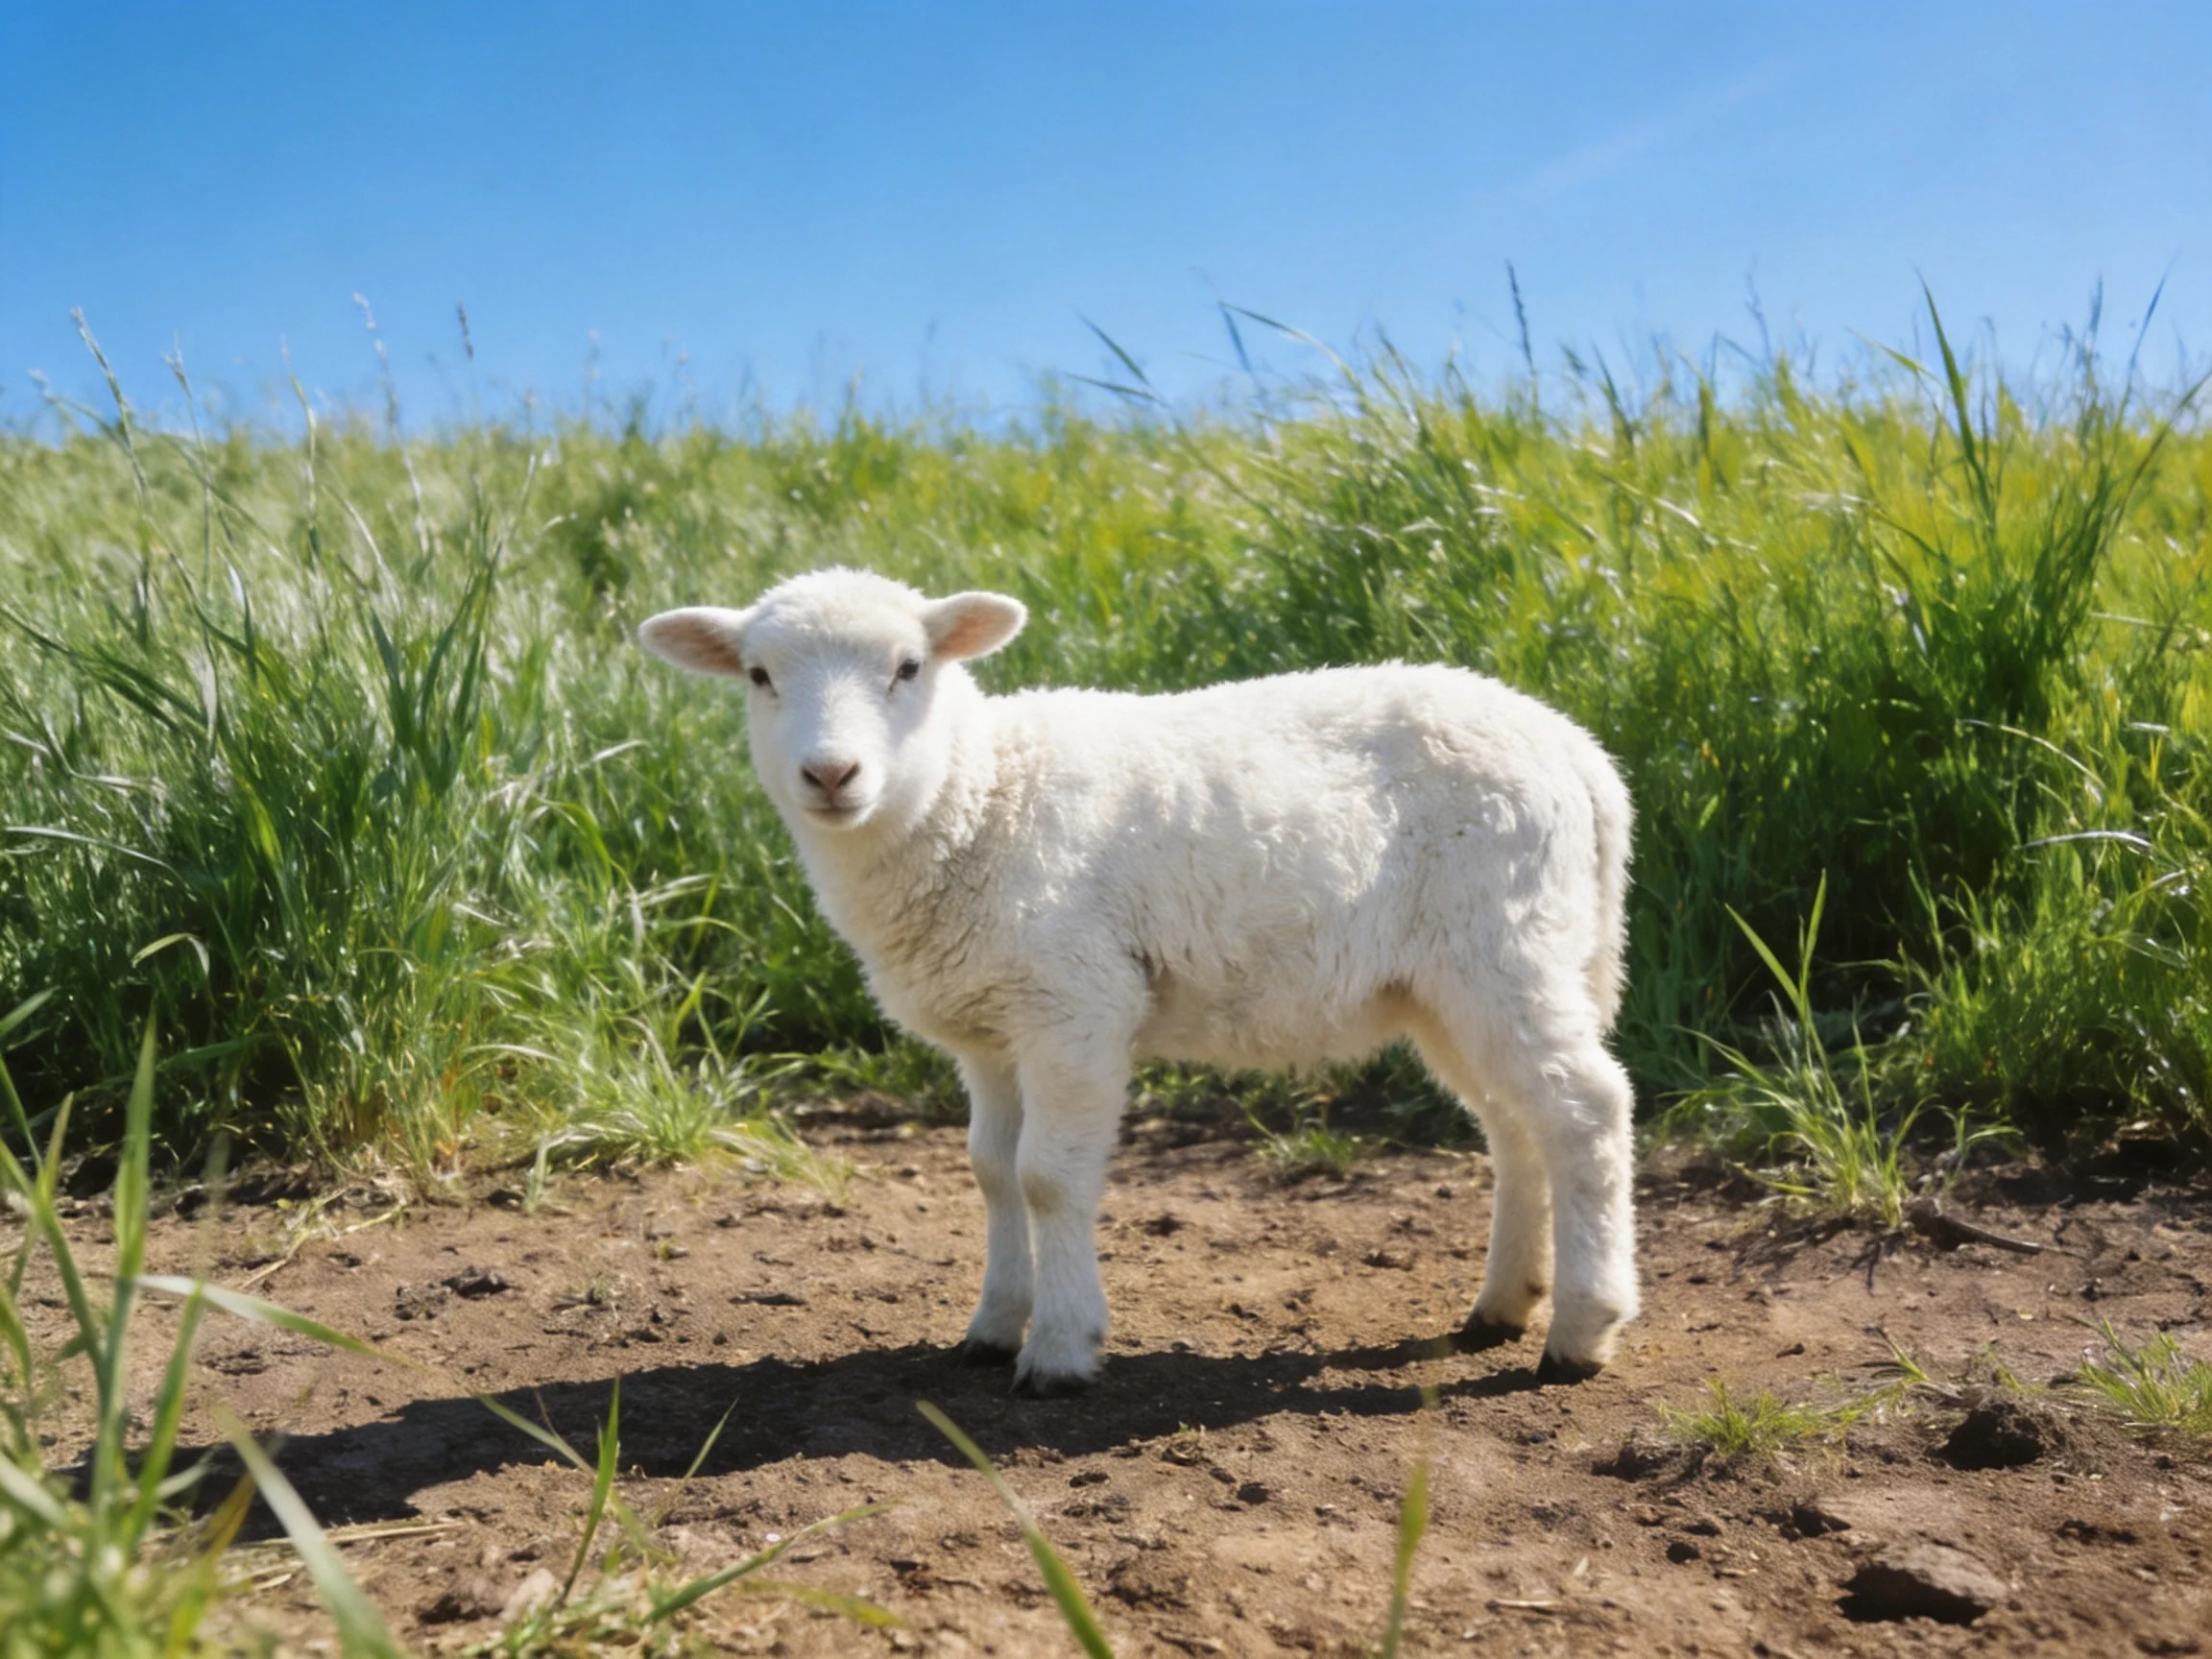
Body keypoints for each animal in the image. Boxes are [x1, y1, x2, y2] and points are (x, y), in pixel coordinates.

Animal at [639, 567, 1637, 1395]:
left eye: (909, 667)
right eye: (759, 676)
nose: (831, 773)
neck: (980, 797)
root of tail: (1580, 753)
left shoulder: (1075, 1002)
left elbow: (1046, 1178)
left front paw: (1059, 1349)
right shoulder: (991, 1028)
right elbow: (990, 1172)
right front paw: (993, 1326)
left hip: (1502, 946)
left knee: (1585, 1111)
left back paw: (1581, 1330)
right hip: (1449, 982)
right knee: (1515, 1125)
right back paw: (1503, 1305)